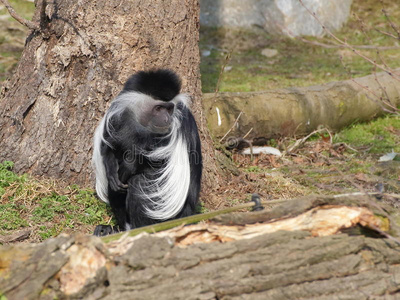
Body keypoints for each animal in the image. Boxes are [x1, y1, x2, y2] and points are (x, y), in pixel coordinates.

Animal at [92, 69, 202, 236]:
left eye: (169, 108)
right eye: (159, 108)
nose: (167, 118)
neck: (143, 126)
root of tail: (188, 214)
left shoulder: (178, 124)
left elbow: (158, 160)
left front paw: (130, 164)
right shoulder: (118, 119)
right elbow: (108, 147)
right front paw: (111, 167)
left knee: (139, 184)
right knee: (115, 187)